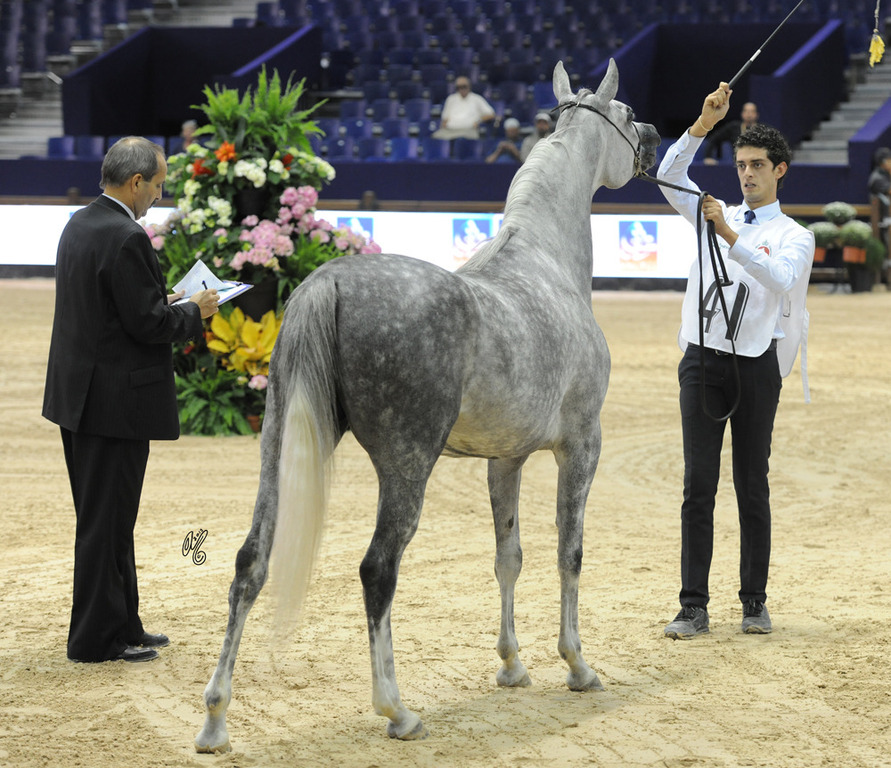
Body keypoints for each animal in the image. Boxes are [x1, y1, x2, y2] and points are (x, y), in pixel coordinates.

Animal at [195, 59, 660, 751]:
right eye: (627, 113)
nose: (654, 138)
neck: (544, 264)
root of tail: (328, 281)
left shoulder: (505, 460)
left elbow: (508, 557)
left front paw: (512, 665)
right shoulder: (582, 446)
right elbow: (568, 553)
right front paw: (577, 665)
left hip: (277, 443)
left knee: (251, 561)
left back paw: (215, 720)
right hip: (408, 466)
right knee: (377, 570)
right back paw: (397, 710)